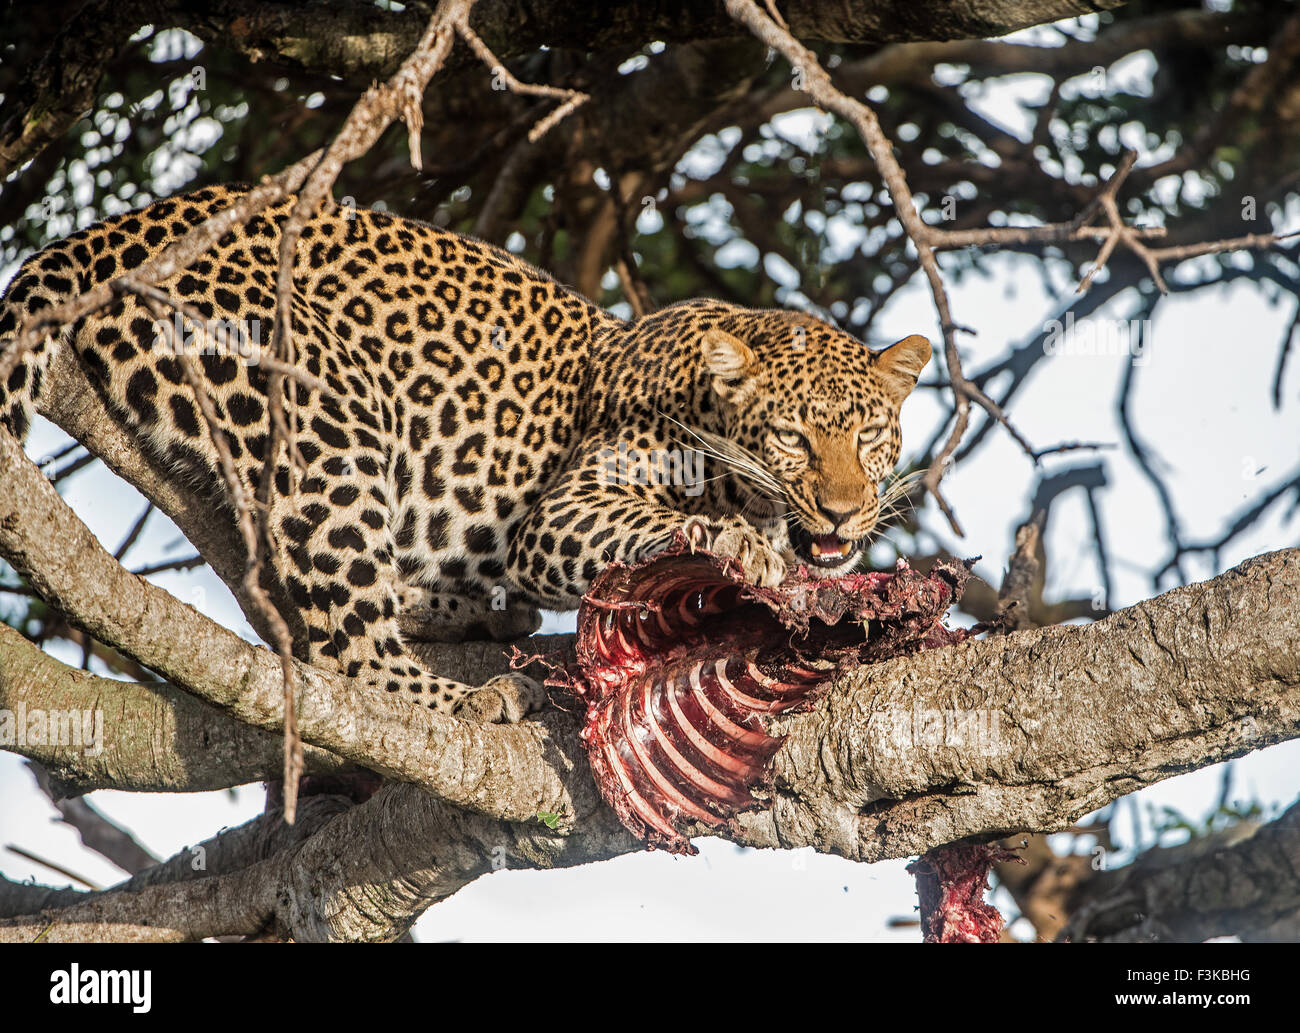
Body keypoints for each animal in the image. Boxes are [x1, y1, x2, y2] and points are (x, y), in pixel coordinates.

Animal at [2, 183, 935, 717]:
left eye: (868, 437)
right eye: (794, 437)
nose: (843, 513)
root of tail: (124, 225)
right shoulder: (560, 514)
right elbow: (649, 521)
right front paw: (731, 543)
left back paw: (470, 612)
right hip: (322, 408)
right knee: (340, 643)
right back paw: (468, 697)